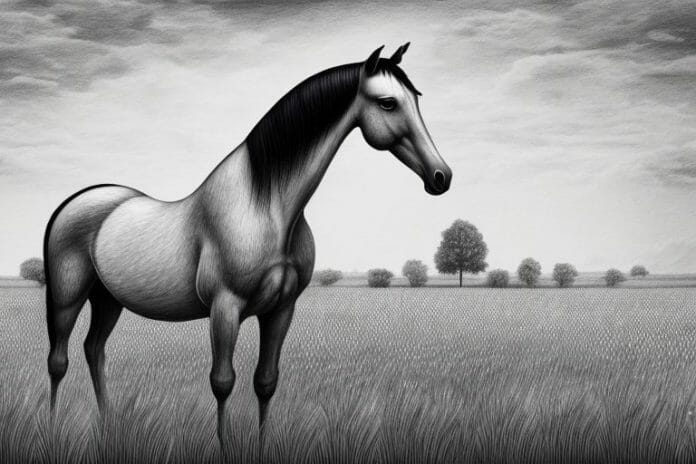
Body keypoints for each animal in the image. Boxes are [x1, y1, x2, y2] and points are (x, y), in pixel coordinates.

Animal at [43, 43, 452, 446]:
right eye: (388, 103)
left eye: (415, 99)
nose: (441, 176)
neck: (265, 206)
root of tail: (76, 201)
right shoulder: (226, 307)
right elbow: (223, 382)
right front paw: (224, 446)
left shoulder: (281, 310)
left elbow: (265, 381)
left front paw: (261, 444)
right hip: (67, 297)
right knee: (58, 360)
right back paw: (53, 427)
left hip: (108, 299)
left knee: (94, 350)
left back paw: (107, 423)